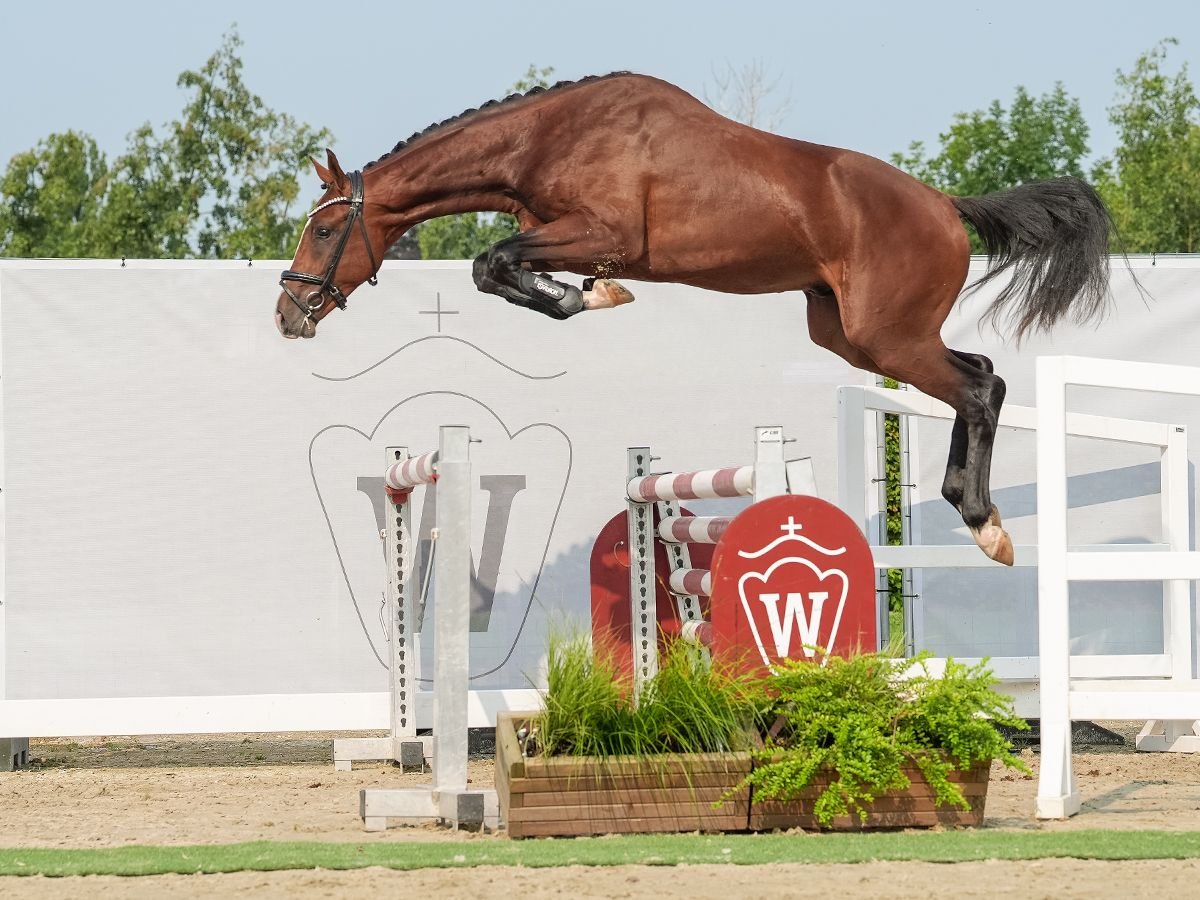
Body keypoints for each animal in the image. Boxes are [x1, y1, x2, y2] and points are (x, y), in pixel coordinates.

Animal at [274, 72, 1113, 564]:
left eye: (326, 228)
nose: (288, 313)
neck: (547, 136)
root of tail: (944, 204)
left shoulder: (602, 231)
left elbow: (495, 263)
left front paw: (589, 296)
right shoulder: (567, 234)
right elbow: (499, 269)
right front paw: (588, 295)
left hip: (889, 335)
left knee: (979, 388)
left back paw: (983, 521)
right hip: (849, 335)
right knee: (980, 376)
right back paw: (969, 508)